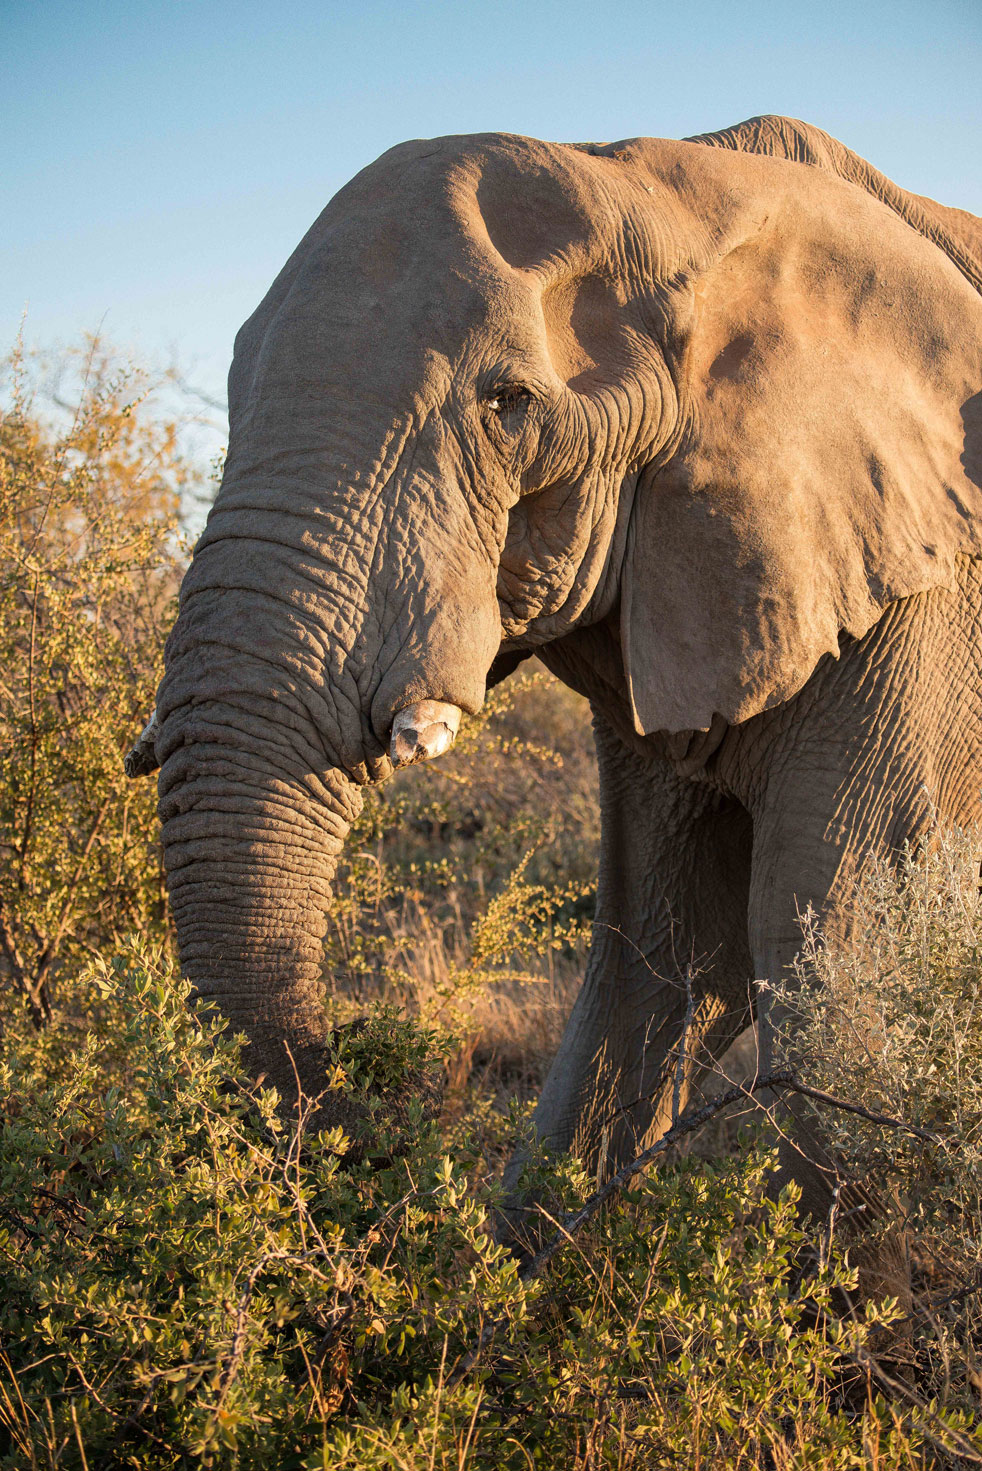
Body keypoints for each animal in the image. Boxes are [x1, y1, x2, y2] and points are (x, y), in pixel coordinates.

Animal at [138, 117, 982, 1265]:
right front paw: (527, 1279)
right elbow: (667, 951)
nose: (378, 1165)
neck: (668, 187)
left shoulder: (921, 594)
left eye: (508, 407)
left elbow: (838, 961)